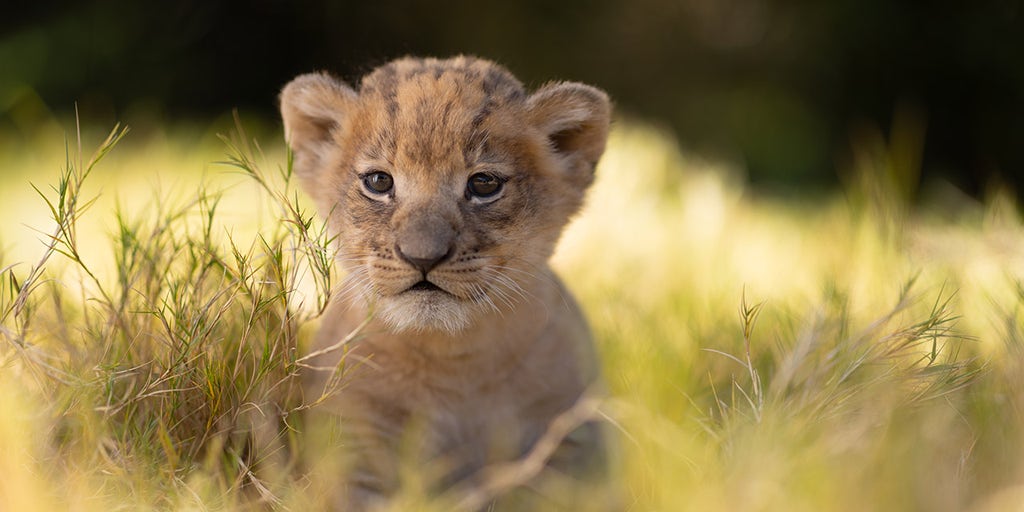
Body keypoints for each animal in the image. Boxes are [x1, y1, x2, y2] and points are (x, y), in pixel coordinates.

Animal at [279, 56, 611, 509]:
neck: (454, 358)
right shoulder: (351, 443)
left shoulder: (571, 437)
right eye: (379, 182)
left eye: (484, 184)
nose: (423, 257)